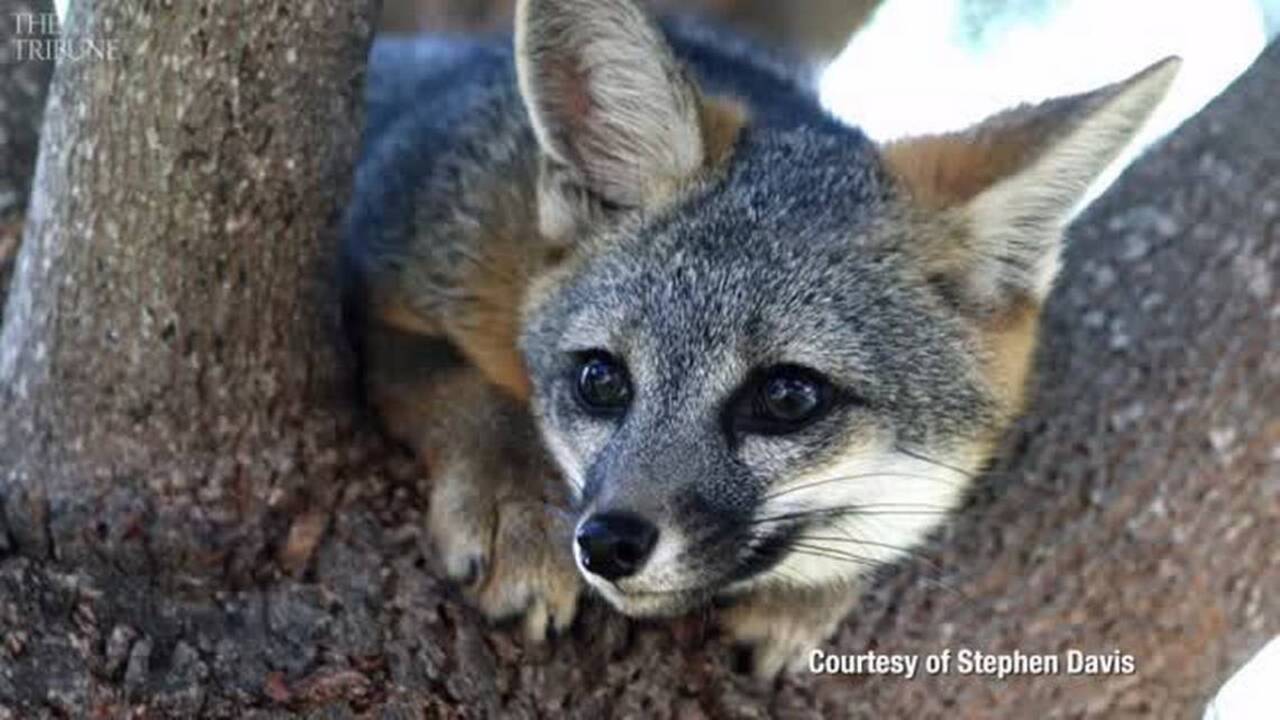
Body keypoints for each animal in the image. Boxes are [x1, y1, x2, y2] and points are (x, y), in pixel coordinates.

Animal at [342, 0, 1178, 678]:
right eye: (600, 380)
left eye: (787, 397)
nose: (606, 543)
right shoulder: (372, 266)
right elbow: (456, 382)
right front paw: (514, 499)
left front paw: (812, 593)